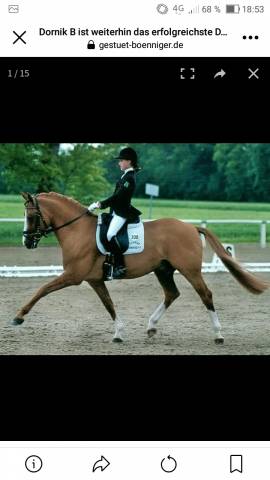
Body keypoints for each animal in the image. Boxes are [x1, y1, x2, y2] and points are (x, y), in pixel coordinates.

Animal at [15, 189, 268, 344]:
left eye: (31, 216)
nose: (26, 242)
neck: (76, 230)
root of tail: (190, 226)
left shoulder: (73, 275)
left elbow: (42, 290)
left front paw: (18, 317)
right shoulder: (94, 280)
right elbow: (109, 305)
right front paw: (118, 334)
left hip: (190, 270)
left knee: (205, 294)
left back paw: (218, 335)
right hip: (163, 269)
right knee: (172, 293)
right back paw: (151, 326)